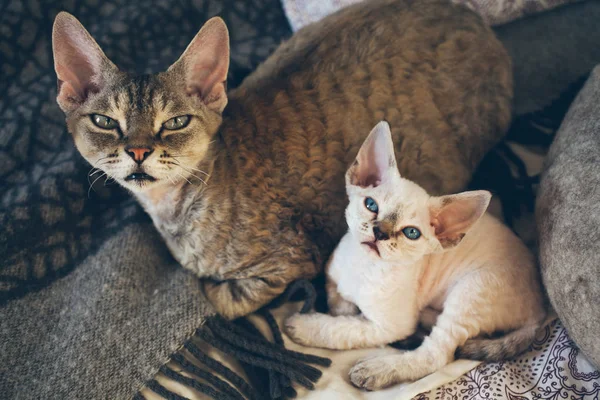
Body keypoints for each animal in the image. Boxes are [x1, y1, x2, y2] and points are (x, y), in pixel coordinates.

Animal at [52, 0, 510, 318]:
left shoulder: (290, 261)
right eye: (105, 121)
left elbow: (220, 297)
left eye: (176, 122)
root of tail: (474, 19)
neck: (171, 211)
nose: (139, 150)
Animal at [284, 121, 548, 390]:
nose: (380, 232)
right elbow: (338, 305)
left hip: (471, 290)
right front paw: (344, 306)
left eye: (411, 233)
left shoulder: (390, 326)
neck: (363, 266)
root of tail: (541, 307)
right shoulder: (332, 277)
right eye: (371, 205)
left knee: (437, 355)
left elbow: (342, 328)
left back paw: (377, 369)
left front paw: (305, 325)